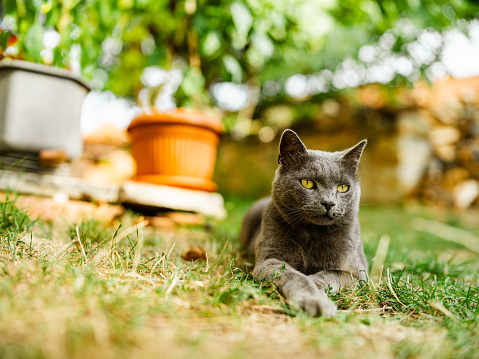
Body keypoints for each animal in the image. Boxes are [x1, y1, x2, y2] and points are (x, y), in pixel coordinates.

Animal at [242, 129, 370, 318]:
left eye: (342, 187)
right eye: (307, 183)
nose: (329, 203)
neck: (312, 234)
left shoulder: (359, 274)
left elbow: (331, 274)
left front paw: (317, 286)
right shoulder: (269, 260)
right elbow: (295, 276)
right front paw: (315, 300)